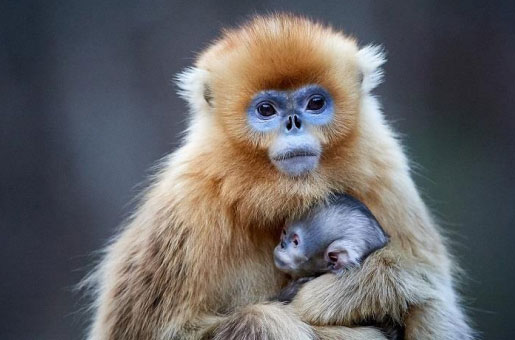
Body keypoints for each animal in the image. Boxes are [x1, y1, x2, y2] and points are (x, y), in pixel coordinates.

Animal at [85, 14, 476, 340]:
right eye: (266, 110)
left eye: (315, 103)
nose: (293, 123)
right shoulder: (187, 204)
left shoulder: (385, 174)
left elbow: (432, 297)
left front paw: (354, 290)